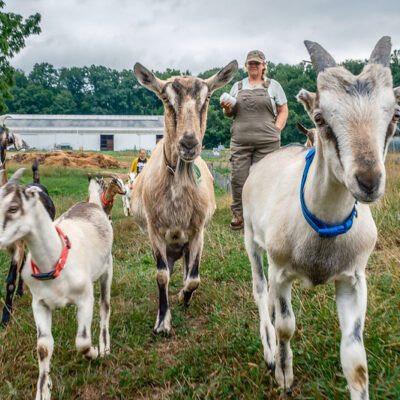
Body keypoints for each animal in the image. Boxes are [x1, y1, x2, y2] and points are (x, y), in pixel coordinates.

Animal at [0, 170, 113, 400]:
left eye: (13, 208)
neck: (56, 258)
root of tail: (91, 203)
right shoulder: (39, 303)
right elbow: (43, 347)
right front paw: (44, 390)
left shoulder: (85, 298)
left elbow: (82, 342)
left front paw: (94, 352)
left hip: (108, 268)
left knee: (105, 307)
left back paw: (105, 346)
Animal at [131, 60, 238, 334]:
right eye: (165, 99)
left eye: (207, 97)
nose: (189, 143)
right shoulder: (154, 229)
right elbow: (161, 275)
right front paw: (162, 322)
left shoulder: (198, 229)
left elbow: (194, 278)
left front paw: (184, 296)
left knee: (187, 268)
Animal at [241, 37, 400, 400]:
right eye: (320, 116)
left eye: (395, 115)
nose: (368, 181)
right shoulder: (282, 270)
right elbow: (286, 326)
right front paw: (284, 375)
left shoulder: (354, 279)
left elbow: (356, 358)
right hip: (251, 241)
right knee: (260, 290)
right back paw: (269, 352)